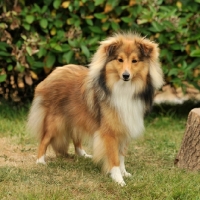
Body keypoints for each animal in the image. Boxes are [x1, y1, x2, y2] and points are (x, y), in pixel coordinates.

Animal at [27, 32, 164, 187]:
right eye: (120, 60)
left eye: (134, 61)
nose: (126, 75)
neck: (123, 89)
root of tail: (54, 72)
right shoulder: (109, 132)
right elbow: (114, 158)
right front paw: (118, 179)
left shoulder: (124, 127)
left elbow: (121, 156)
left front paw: (124, 173)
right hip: (54, 121)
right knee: (44, 140)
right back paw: (40, 161)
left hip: (76, 117)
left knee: (75, 137)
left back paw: (83, 154)